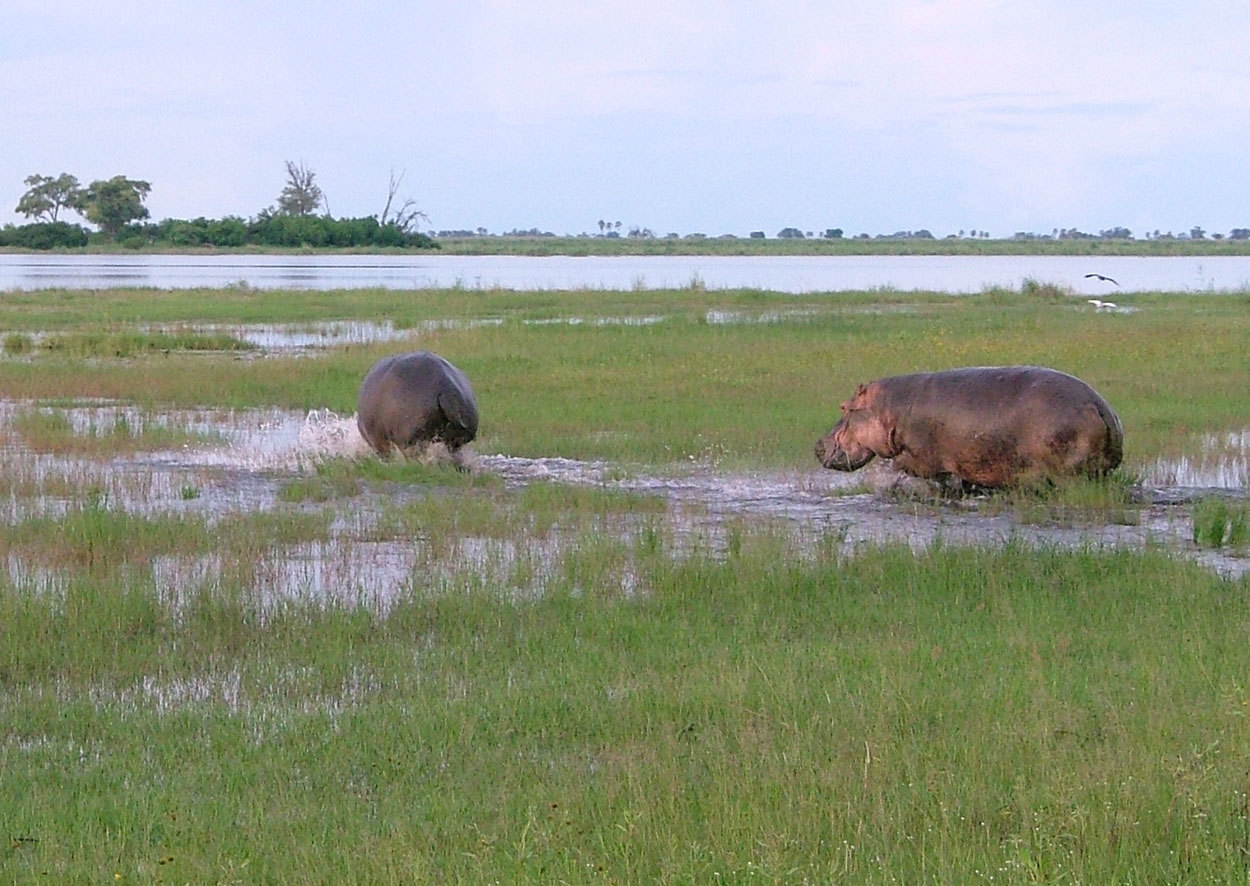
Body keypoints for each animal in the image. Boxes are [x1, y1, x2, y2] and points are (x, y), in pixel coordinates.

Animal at [815, 367, 1130, 489]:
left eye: (844, 407)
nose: (818, 443)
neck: (887, 408)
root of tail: (1098, 406)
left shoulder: (920, 458)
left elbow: (904, 466)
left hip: (1068, 474)